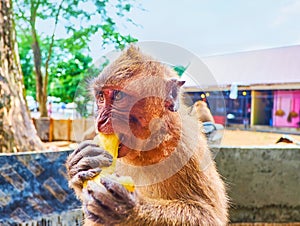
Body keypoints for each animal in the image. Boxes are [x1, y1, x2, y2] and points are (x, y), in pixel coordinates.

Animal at [65, 45, 227, 225]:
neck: (146, 149)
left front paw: (128, 208)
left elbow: (207, 215)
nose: (100, 121)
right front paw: (79, 165)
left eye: (119, 96)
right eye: (101, 97)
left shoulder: (186, 148)